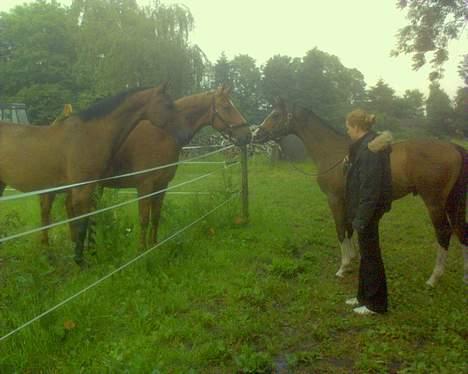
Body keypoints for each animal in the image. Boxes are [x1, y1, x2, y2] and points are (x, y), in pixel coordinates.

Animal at [0, 84, 183, 266]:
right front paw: (80, 262)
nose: (181, 136)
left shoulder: (91, 188)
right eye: (168, 105)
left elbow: (87, 222)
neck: (89, 135)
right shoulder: (82, 190)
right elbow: (82, 224)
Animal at [40, 84, 252, 248]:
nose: (247, 135)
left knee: (68, 208)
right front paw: (142, 249)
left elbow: (155, 215)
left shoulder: (162, 185)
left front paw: (154, 244)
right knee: (46, 211)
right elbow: (143, 218)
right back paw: (47, 247)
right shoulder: (145, 185)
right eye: (226, 107)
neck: (164, 134)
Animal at [254, 98, 466, 286]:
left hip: (434, 202)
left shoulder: (334, 199)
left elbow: (340, 229)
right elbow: (349, 228)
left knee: (444, 232)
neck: (333, 152)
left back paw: (434, 278)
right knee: (460, 230)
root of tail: (453, 147)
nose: (256, 134)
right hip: (451, 202)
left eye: (276, 115)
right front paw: (353, 258)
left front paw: (343, 266)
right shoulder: (347, 199)